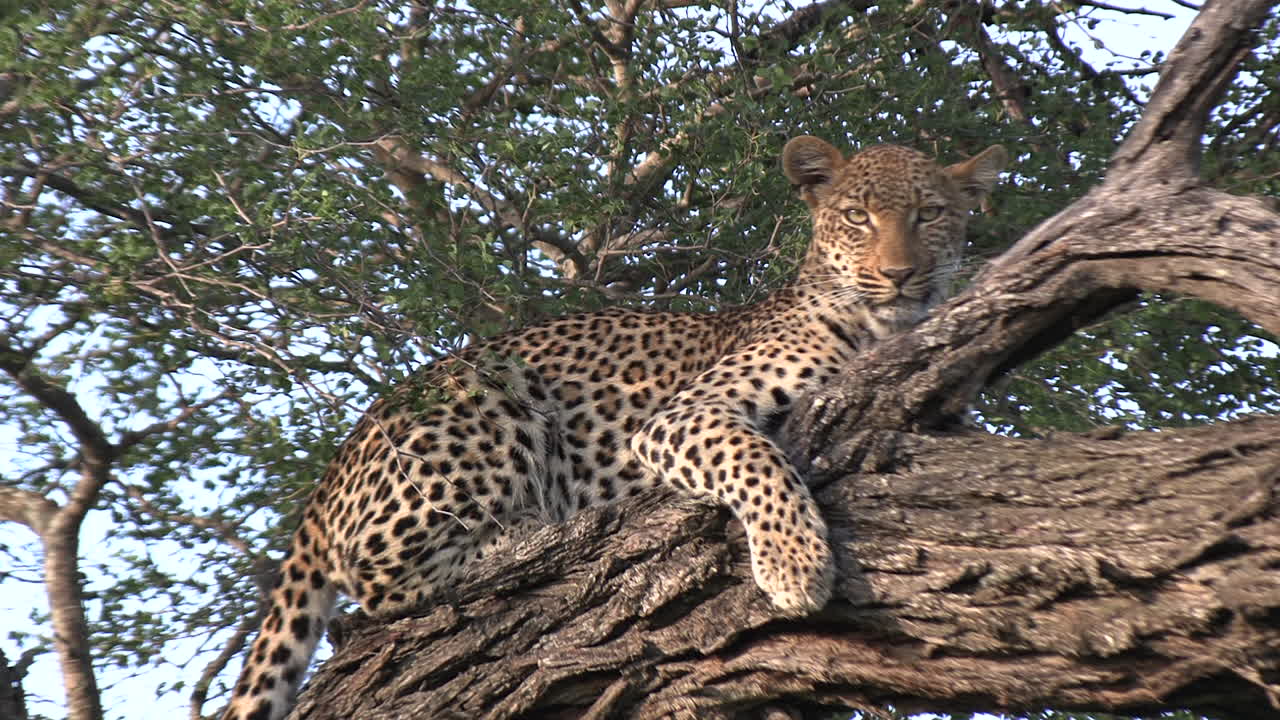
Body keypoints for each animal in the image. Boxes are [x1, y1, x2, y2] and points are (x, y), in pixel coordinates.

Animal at [219, 135, 1008, 720]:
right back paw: (526, 534)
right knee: (380, 582)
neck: (884, 327)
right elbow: (756, 459)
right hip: (487, 401)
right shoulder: (678, 417)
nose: (900, 274)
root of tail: (333, 469)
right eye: (857, 217)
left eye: (931, 214)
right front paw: (794, 565)